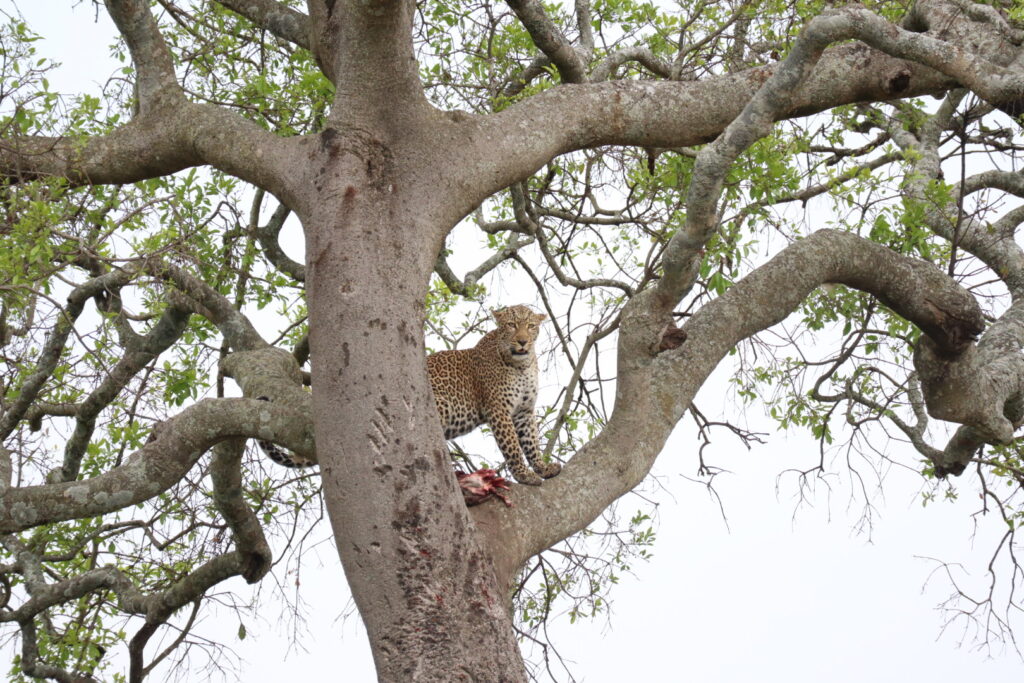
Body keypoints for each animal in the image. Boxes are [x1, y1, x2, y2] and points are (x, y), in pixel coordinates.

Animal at [256, 305, 561, 485]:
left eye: (531, 326)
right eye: (510, 325)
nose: (522, 341)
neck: (521, 364)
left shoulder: (523, 411)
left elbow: (531, 442)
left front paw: (542, 468)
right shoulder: (499, 409)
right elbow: (512, 446)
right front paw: (525, 476)